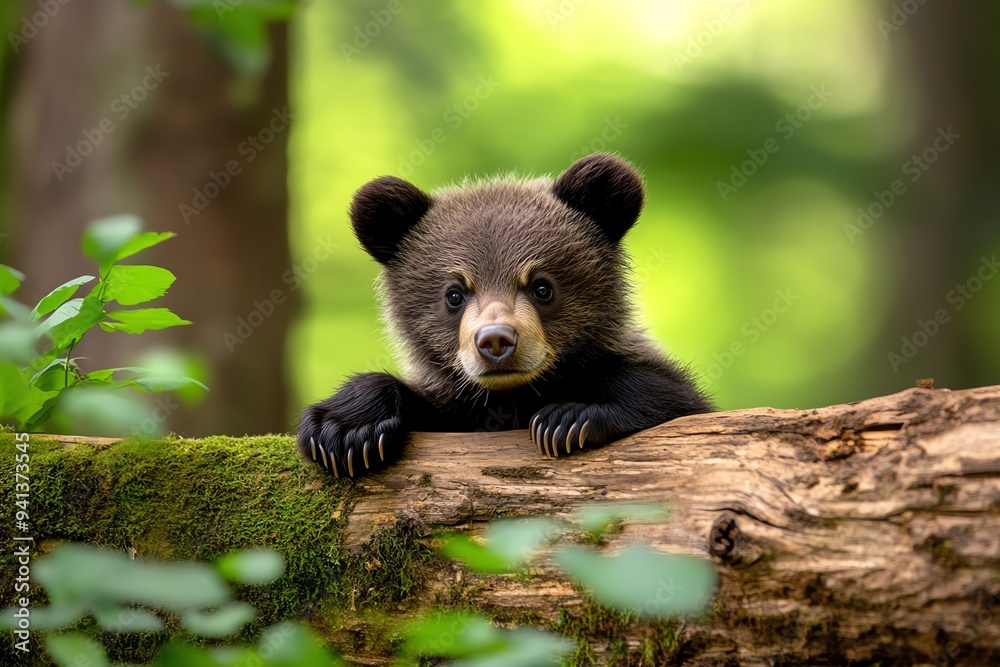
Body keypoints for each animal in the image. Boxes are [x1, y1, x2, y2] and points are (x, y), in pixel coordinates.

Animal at [297, 153, 711, 478]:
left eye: (542, 286)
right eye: (454, 294)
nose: (496, 340)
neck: (512, 398)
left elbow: (669, 394)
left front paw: (569, 417)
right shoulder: (459, 410)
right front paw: (345, 432)